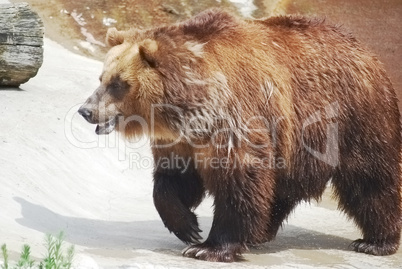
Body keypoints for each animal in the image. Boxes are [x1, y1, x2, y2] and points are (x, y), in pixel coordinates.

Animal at [77, 8, 398, 262]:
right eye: (102, 77)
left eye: (119, 83)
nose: (86, 110)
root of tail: (365, 49)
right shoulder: (181, 140)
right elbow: (173, 182)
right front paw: (188, 226)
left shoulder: (235, 120)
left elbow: (239, 180)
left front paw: (209, 247)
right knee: (282, 188)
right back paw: (262, 232)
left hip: (353, 117)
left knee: (370, 178)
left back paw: (376, 241)